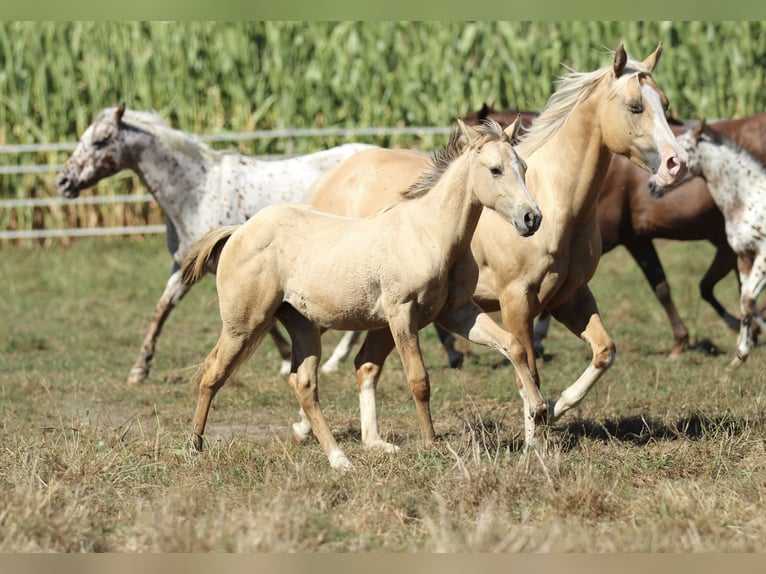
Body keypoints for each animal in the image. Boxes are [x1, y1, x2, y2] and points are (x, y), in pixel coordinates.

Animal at [54, 107, 378, 388]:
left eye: (101, 140)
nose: (63, 181)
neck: (196, 192)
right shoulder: (184, 265)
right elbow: (162, 309)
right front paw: (139, 369)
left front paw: (287, 356)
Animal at [180, 119, 544, 470]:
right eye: (495, 169)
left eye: (524, 166)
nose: (532, 218)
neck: (429, 234)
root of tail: (239, 230)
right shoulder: (402, 315)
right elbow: (419, 380)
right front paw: (431, 444)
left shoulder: (457, 312)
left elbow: (513, 345)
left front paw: (539, 409)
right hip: (244, 324)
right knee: (213, 373)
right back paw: (194, 447)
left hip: (303, 326)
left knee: (304, 384)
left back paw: (339, 459)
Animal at [306, 42, 688, 452]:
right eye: (635, 106)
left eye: (665, 103)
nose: (676, 164)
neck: (558, 202)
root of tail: (334, 176)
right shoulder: (517, 300)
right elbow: (528, 370)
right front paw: (535, 438)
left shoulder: (570, 298)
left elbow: (603, 352)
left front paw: (555, 408)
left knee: (366, 364)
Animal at [676, 120, 766, 368]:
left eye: (682, 150)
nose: (652, 185)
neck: (747, 199)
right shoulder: (744, 257)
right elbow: (746, 301)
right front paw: (740, 356)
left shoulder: (763, 255)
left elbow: (748, 300)